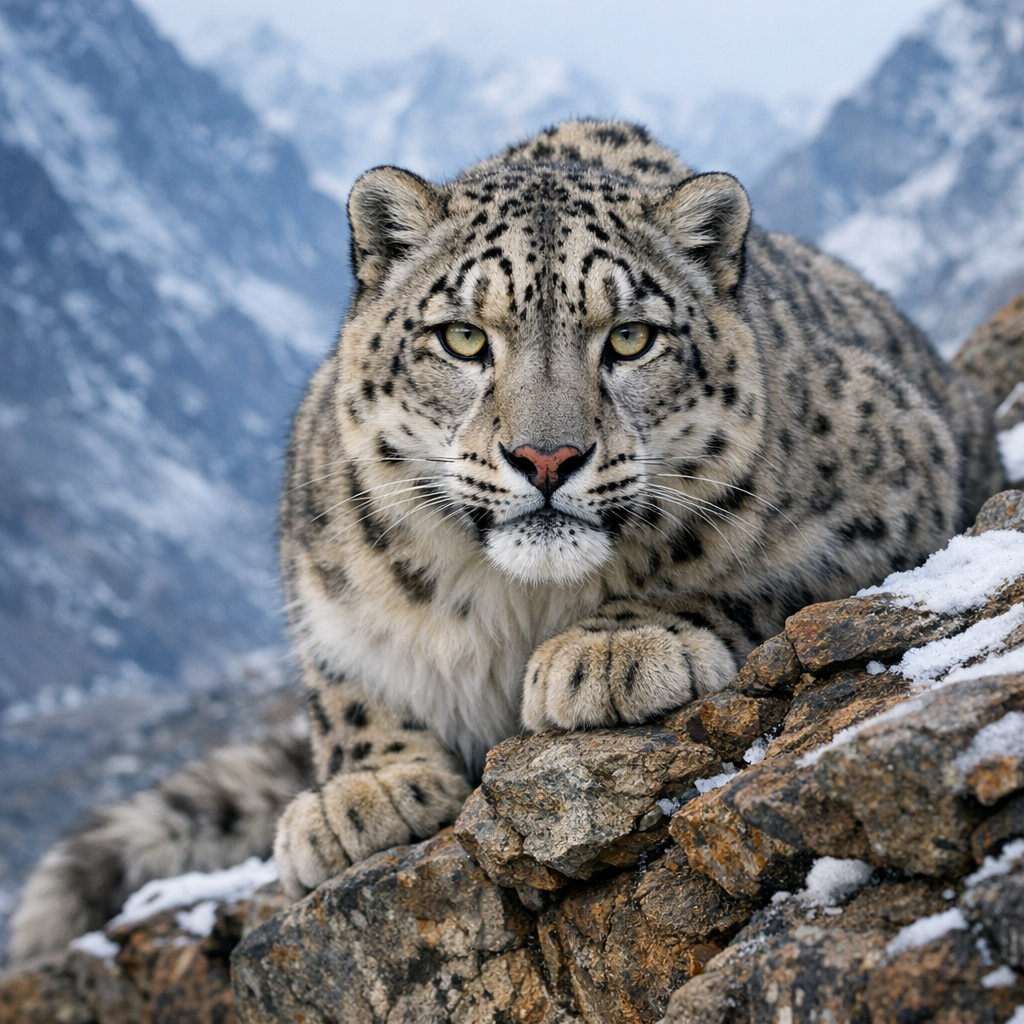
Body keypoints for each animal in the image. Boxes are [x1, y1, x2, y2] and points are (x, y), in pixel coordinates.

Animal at [7, 119, 1003, 961]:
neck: (518, 604)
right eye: (462, 337)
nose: (546, 456)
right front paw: (360, 793)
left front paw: (610, 651)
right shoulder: (317, 577)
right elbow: (342, 684)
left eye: (630, 338)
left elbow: (735, 568)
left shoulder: (897, 491)